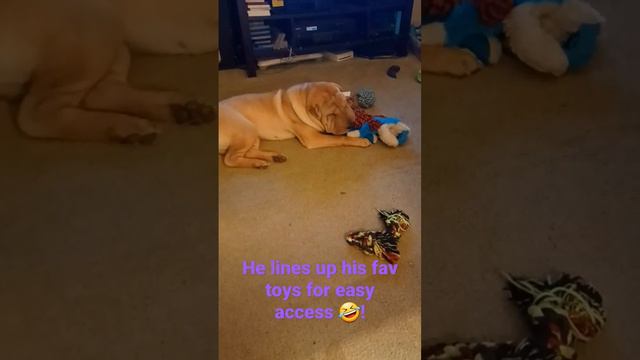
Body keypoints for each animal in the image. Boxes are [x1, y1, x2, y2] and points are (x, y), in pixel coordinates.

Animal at [0, 0, 215, 143]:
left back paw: (181, 109)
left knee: (101, 92)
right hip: (93, 31)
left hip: (112, 38)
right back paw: (127, 126)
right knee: (34, 116)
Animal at [219, 81, 370, 169]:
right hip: (247, 129)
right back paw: (257, 163)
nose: (351, 124)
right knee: (229, 159)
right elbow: (340, 138)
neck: (305, 96)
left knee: (248, 152)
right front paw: (361, 140)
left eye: (346, 105)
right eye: (332, 115)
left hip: (253, 133)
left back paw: (273, 157)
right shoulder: (313, 138)